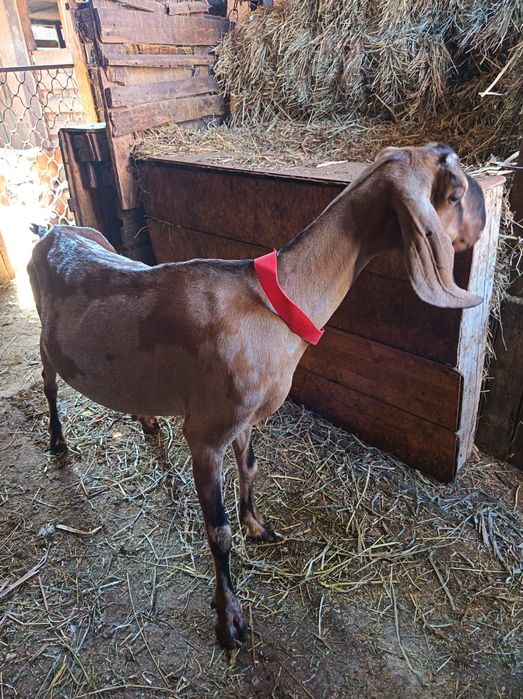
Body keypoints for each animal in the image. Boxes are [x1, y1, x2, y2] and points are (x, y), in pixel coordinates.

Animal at [28, 143, 486, 649]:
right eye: (456, 192)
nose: (484, 220)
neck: (273, 302)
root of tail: (51, 230)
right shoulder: (205, 434)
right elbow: (218, 531)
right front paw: (229, 616)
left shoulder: (245, 418)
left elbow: (249, 468)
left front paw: (258, 526)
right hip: (45, 341)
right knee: (48, 384)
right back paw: (57, 442)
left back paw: (146, 421)